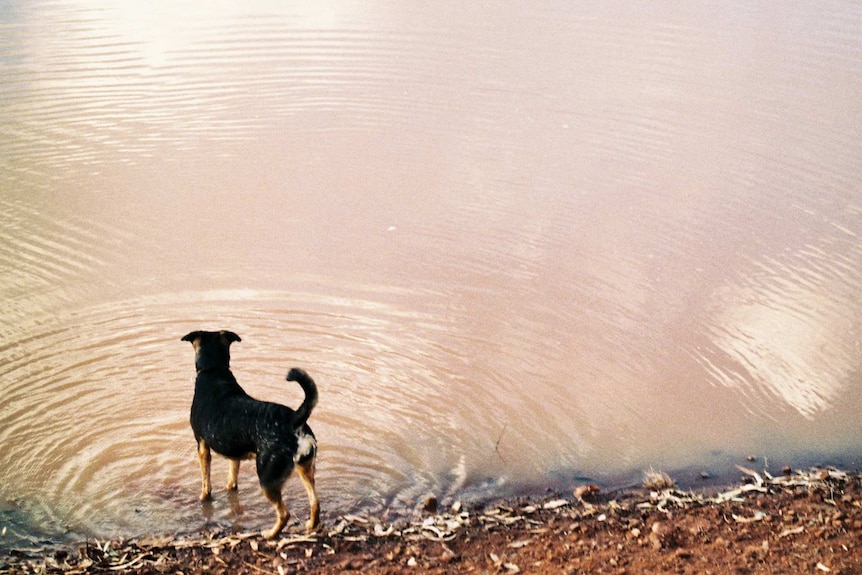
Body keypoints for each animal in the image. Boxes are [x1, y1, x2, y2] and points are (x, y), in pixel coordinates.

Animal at [181, 330, 320, 536]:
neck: (214, 371)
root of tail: (294, 420)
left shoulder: (202, 446)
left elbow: (206, 481)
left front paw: (203, 497)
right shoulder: (234, 452)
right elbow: (232, 478)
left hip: (267, 477)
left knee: (284, 513)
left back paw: (270, 534)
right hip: (305, 468)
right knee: (315, 502)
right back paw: (310, 525)